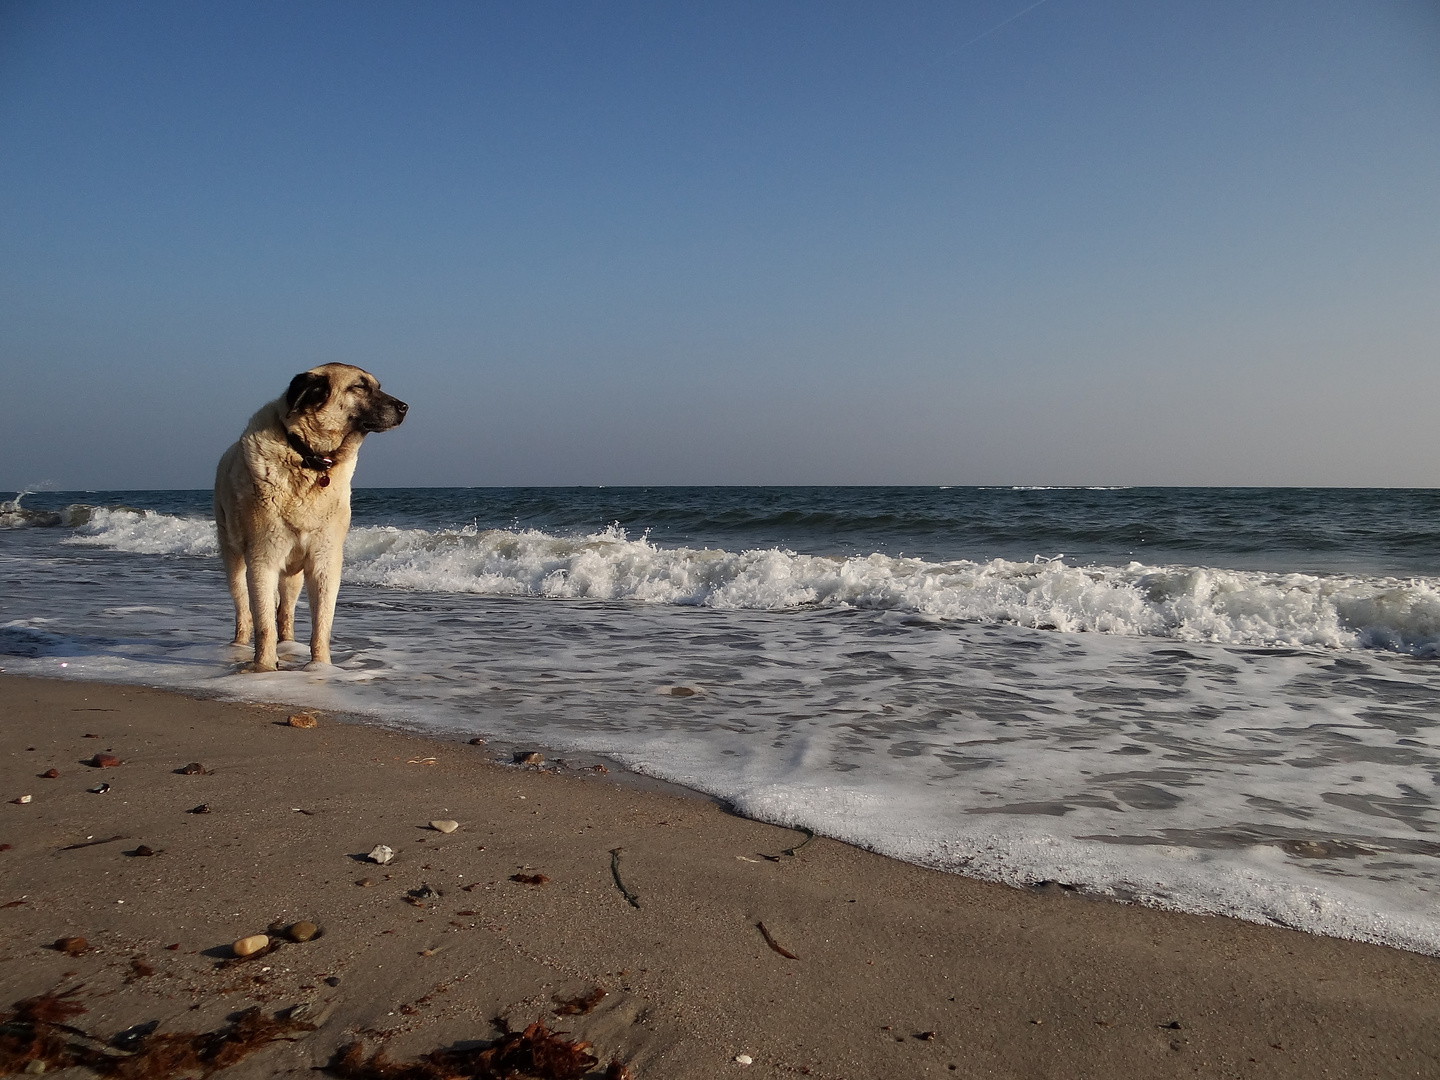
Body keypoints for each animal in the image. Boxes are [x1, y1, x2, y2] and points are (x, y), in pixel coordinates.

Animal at [211, 365, 406, 668]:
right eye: (360, 387)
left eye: (377, 386)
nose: (405, 407)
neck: (308, 458)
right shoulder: (263, 560)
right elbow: (263, 624)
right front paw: (265, 667)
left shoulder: (325, 562)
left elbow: (321, 623)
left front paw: (321, 666)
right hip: (234, 560)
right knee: (244, 610)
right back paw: (240, 646)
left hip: (294, 576)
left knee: (285, 612)